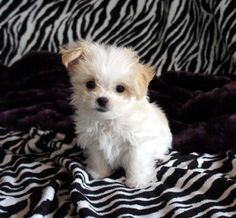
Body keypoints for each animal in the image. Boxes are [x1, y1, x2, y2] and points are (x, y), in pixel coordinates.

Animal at [60, 41, 171, 187]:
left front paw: (136, 182)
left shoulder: (137, 142)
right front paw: (100, 173)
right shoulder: (94, 142)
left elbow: (136, 163)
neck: (109, 120)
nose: (102, 100)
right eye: (90, 84)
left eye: (120, 88)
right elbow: (98, 158)